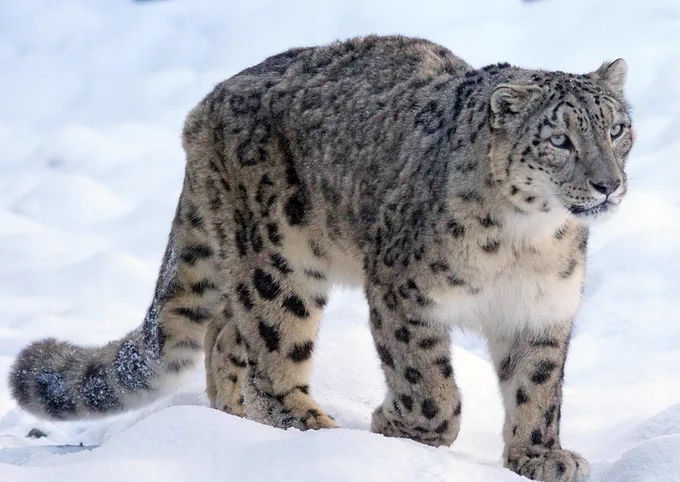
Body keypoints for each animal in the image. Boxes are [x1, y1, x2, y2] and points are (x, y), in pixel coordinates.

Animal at [8, 35, 633, 482]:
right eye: (560, 140)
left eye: (617, 129)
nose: (608, 184)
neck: (528, 241)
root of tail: (206, 105)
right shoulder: (404, 293)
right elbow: (429, 384)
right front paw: (397, 426)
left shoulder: (542, 310)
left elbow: (538, 388)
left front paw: (541, 456)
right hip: (279, 262)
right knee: (269, 349)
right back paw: (309, 429)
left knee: (224, 332)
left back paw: (233, 421)